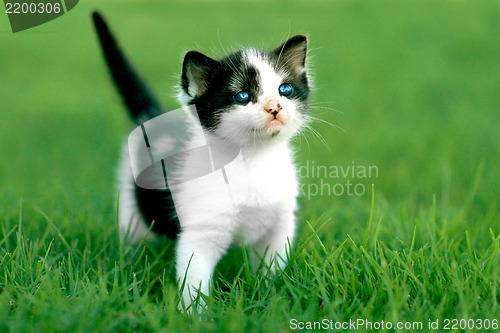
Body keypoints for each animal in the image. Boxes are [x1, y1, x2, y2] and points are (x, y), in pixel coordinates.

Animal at [90, 11, 308, 310]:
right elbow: (194, 280)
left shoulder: (280, 224)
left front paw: (269, 298)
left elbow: (271, 268)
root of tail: (152, 117)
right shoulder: (200, 232)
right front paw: (196, 314)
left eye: (285, 89)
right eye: (243, 96)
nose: (274, 106)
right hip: (130, 206)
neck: (252, 160)